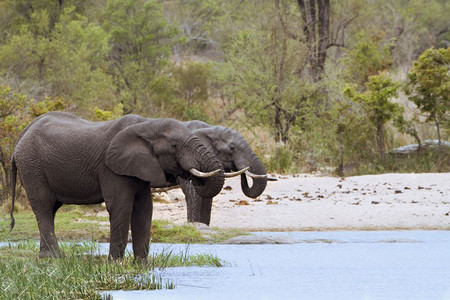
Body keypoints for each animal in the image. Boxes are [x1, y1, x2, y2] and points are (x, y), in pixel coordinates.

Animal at [8, 111, 223, 258]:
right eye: (174, 145)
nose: (194, 175)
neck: (146, 124)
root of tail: (21, 136)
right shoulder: (111, 168)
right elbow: (121, 206)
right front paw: (115, 263)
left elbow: (144, 209)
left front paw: (141, 265)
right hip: (32, 166)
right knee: (44, 207)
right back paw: (54, 258)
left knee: (50, 210)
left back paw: (47, 257)